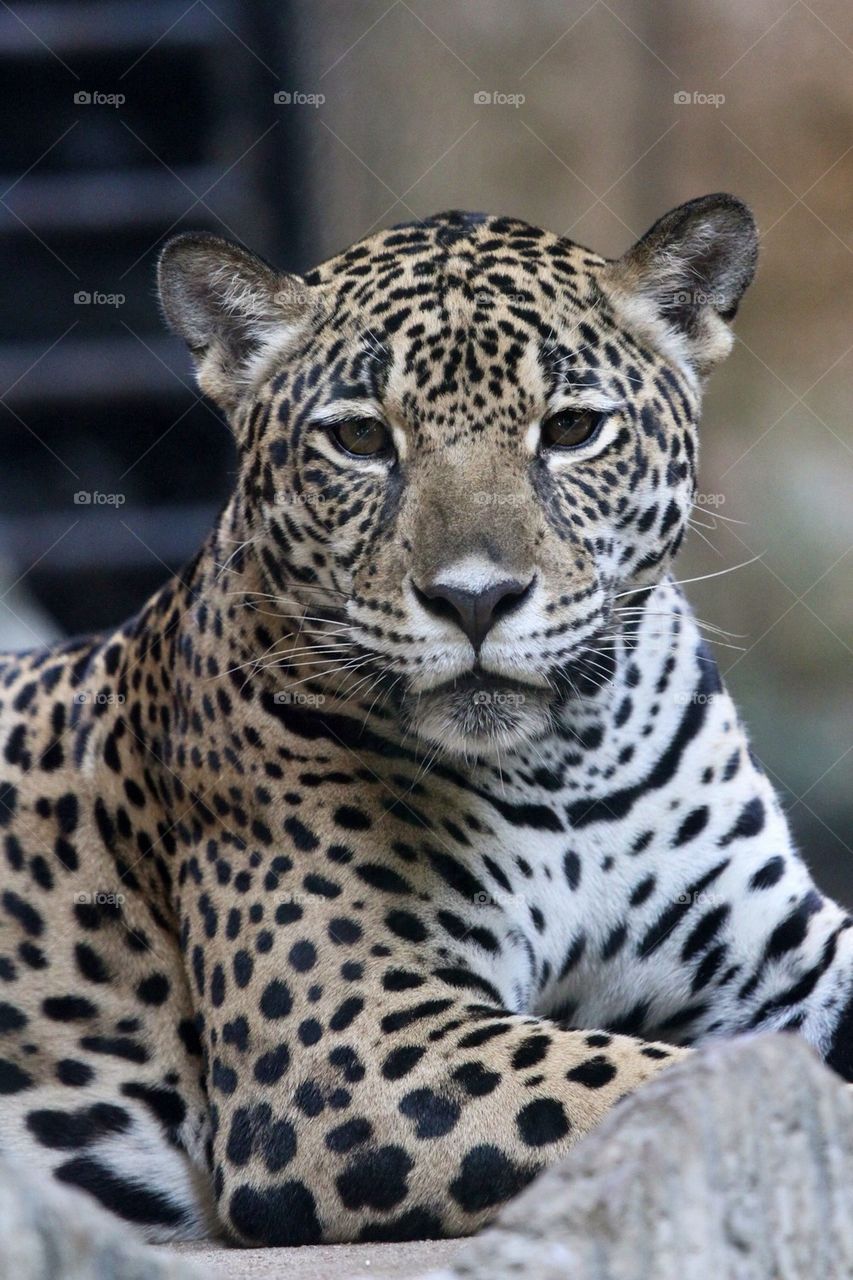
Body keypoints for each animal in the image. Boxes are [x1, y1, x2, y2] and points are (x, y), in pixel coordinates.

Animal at [0, 193, 850, 1250]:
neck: (568, 760)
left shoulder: (784, 955)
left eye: (572, 428)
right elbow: (644, 1080)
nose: (475, 600)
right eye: (362, 441)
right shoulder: (352, 1041)